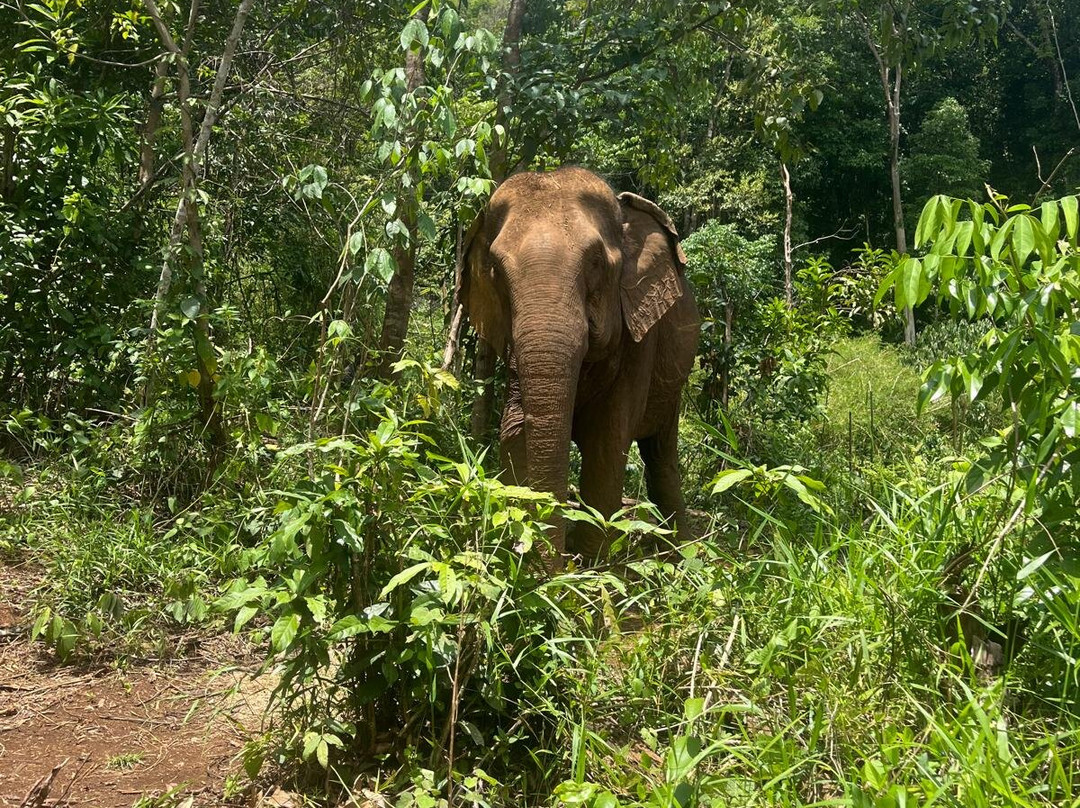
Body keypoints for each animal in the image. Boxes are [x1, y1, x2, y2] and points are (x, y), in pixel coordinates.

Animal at [462, 166, 699, 558]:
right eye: (495, 269)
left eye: (596, 262)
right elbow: (514, 430)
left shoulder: (640, 334)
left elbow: (608, 436)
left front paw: (592, 562)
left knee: (660, 455)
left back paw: (682, 553)